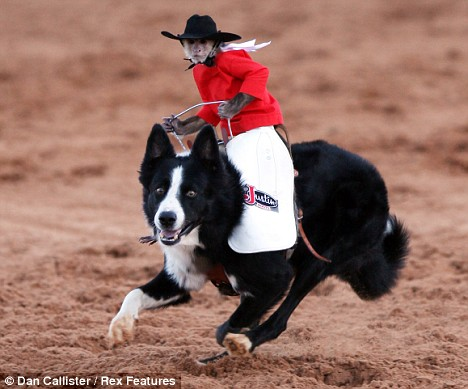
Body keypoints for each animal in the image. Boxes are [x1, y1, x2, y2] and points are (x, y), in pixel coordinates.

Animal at [108, 123, 408, 358]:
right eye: (159, 190)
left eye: (191, 193)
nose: (166, 219)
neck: (223, 219)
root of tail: (375, 176)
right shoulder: (181, 277)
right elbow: (134, 293)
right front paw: (121, 327)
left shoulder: (276, 279)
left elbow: (230, 325)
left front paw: (235, 339)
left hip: (319, 261)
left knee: (280, 319)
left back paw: (244, 342)